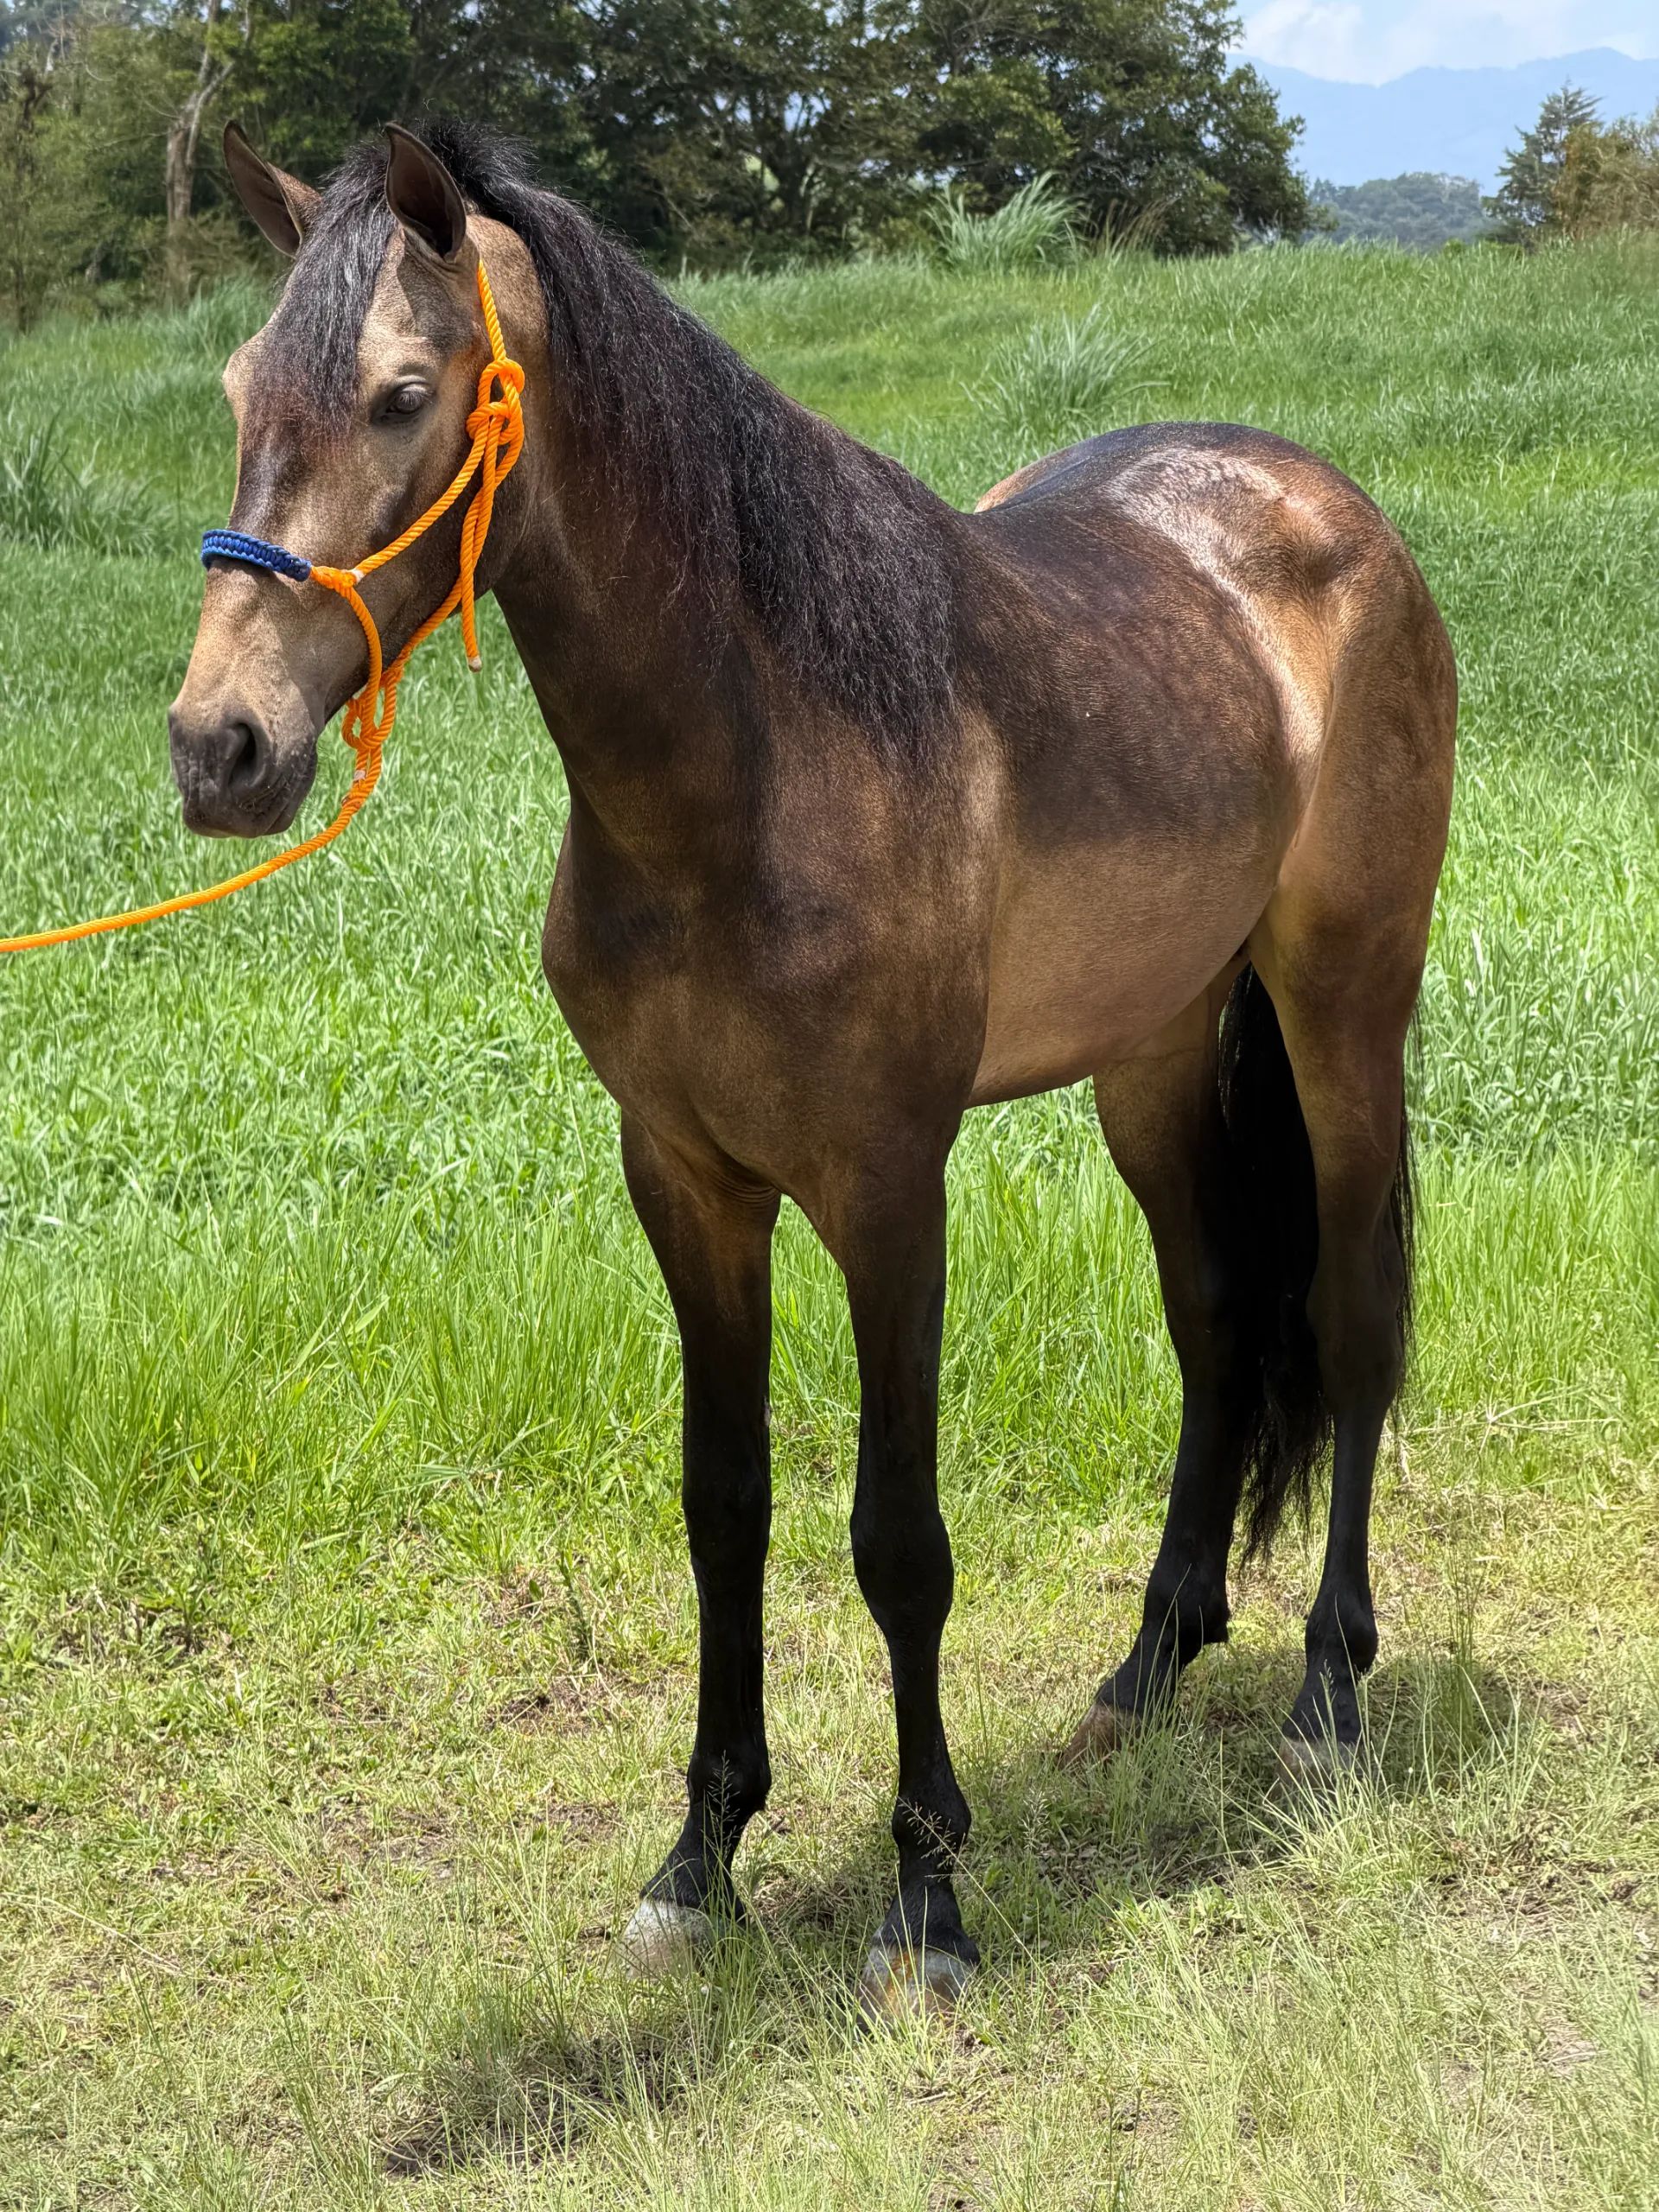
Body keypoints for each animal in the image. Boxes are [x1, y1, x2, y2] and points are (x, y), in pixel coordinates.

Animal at [171, 121, 1456, 2018]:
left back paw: (1323, 1698)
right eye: (246, 388)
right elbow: (726, 1507)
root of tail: (1326, 504)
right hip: (1153, 1060)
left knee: (1354, 1322)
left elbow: (896, 1538)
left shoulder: (885, 1187)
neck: (761, 760)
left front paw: (926, 1896)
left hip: (1342, 1007)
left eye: (404, 393)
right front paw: (698, 1860)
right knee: (1221, 1324)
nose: (221, 748)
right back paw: (1144, 1671)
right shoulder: (688, 1180)